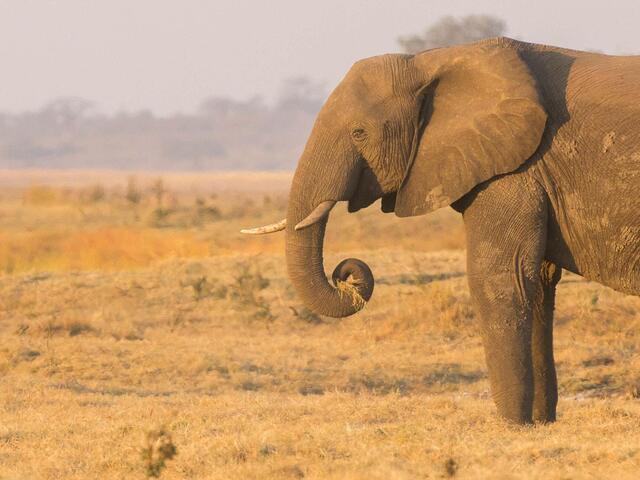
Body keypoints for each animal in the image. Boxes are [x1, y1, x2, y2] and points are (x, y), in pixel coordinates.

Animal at [241, 38, 640, 428]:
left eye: (359, 133)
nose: (348, 275)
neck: (428, 62)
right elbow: (538, 284)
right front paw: (540, 425)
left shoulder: (512, 172)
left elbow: (500, 278)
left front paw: (511, 425)